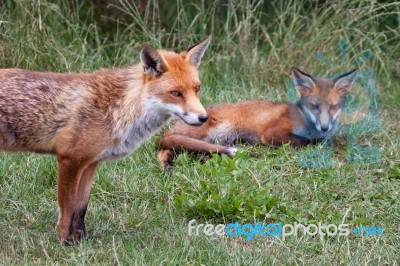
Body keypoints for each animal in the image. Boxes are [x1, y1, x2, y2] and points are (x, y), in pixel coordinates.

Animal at [0, 36, 212, 244]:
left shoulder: (90, 163)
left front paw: (82, 240)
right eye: (176, 93)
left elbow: (80, 207)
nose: (203, 117)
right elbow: (67, 208)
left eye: (197, 89)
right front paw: (64, 242)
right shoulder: (69, 160)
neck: (121, 108)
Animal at [158, 67, 358, 171]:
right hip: (214, 131)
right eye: (315, 106)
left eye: (333, 107)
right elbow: (306, 142)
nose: (324, 127)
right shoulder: (271, 134)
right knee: (166, 147)